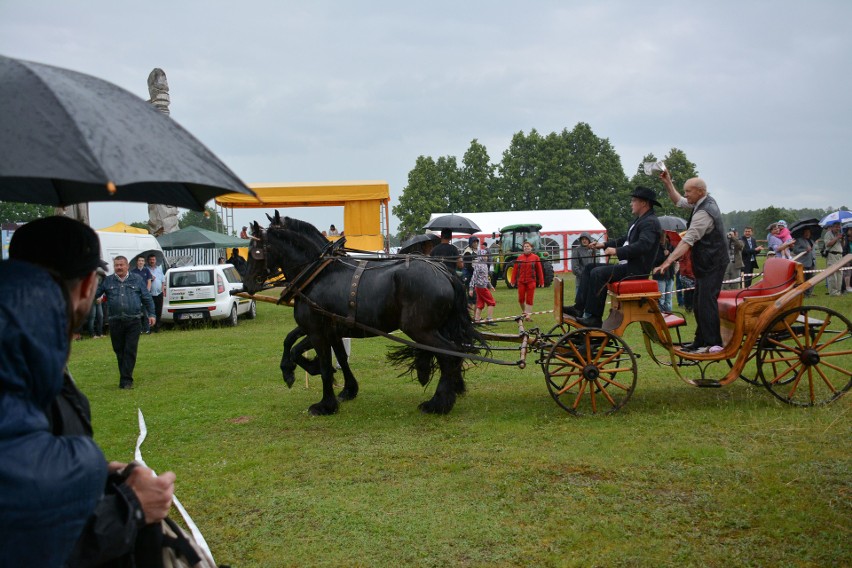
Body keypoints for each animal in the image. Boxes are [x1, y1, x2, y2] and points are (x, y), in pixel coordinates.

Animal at [245, 215, 486, 414]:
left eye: (254, 251)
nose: (247, 284)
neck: (317, 274)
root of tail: (445, 273)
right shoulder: (331, 330)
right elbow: (303, 346)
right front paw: (346, 389)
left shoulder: (317, 331)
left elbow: (319, 362)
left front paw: (325, 402)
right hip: (438, 327)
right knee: (453, 353)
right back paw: (451, 390)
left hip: (420, 330)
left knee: (449, 354)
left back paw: (438, 403)